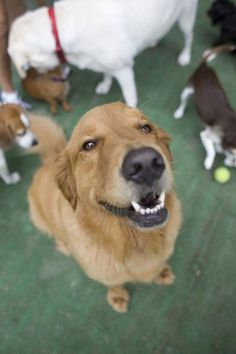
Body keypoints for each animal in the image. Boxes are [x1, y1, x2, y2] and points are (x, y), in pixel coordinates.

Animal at [8, 0, 197, 107]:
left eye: (28, 66)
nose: (33, 75)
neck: (58, 31)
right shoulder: (106, 62)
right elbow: (106, 73)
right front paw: (106, 84)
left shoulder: (124, 69)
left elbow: (130, 98)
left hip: (186, 16)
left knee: (189, 36)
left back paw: (185, 56)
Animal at [28, 101, 182, 312]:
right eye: (89, 145)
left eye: (146, 128)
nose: (146, 163)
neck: (133, 240)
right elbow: (114, 283)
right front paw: (117, 296)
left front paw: (161, 271)